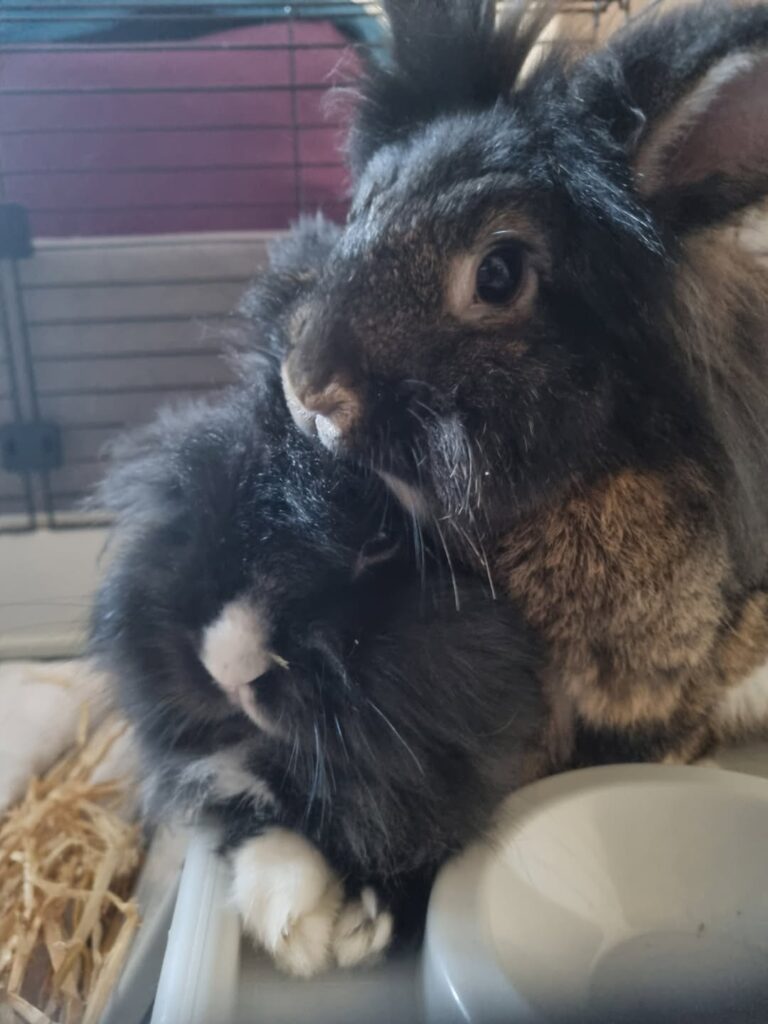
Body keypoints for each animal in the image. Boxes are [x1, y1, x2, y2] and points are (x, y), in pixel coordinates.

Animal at [89, 237, 543, 977]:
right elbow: (243, 796)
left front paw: (358, 926)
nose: (228, 666)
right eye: (222, 472)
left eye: (382, 540)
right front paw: (290, 921)